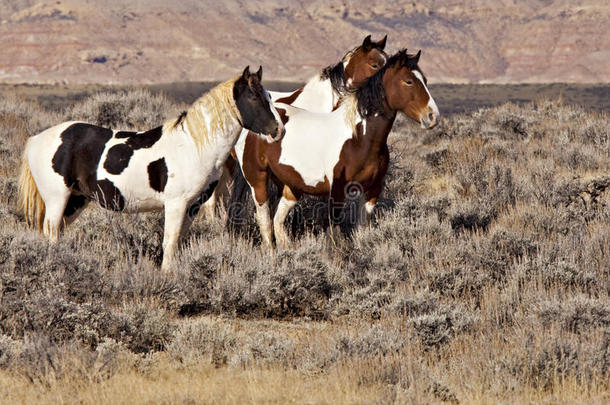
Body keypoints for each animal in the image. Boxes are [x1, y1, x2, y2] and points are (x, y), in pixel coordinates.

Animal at [18, 65, 284, 268]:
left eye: (270, 97)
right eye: (253, 97)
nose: (278, 130)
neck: (192, 146)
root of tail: (37, 139)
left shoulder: (193, 206)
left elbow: (179, 242)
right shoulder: (175, 204)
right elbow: (170, 242)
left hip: (76, 199)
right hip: (57, 198)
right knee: (52, 232)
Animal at [232, 50, 436, 246]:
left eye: (425, 81)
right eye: (408, 81)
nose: (432, 116)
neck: (358, 138)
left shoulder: (372, 191)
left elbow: (361, 230)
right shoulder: (337, 191)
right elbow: (333, 233)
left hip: (290, 186)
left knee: (278, 221)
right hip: (257, 178)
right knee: (265, 221)